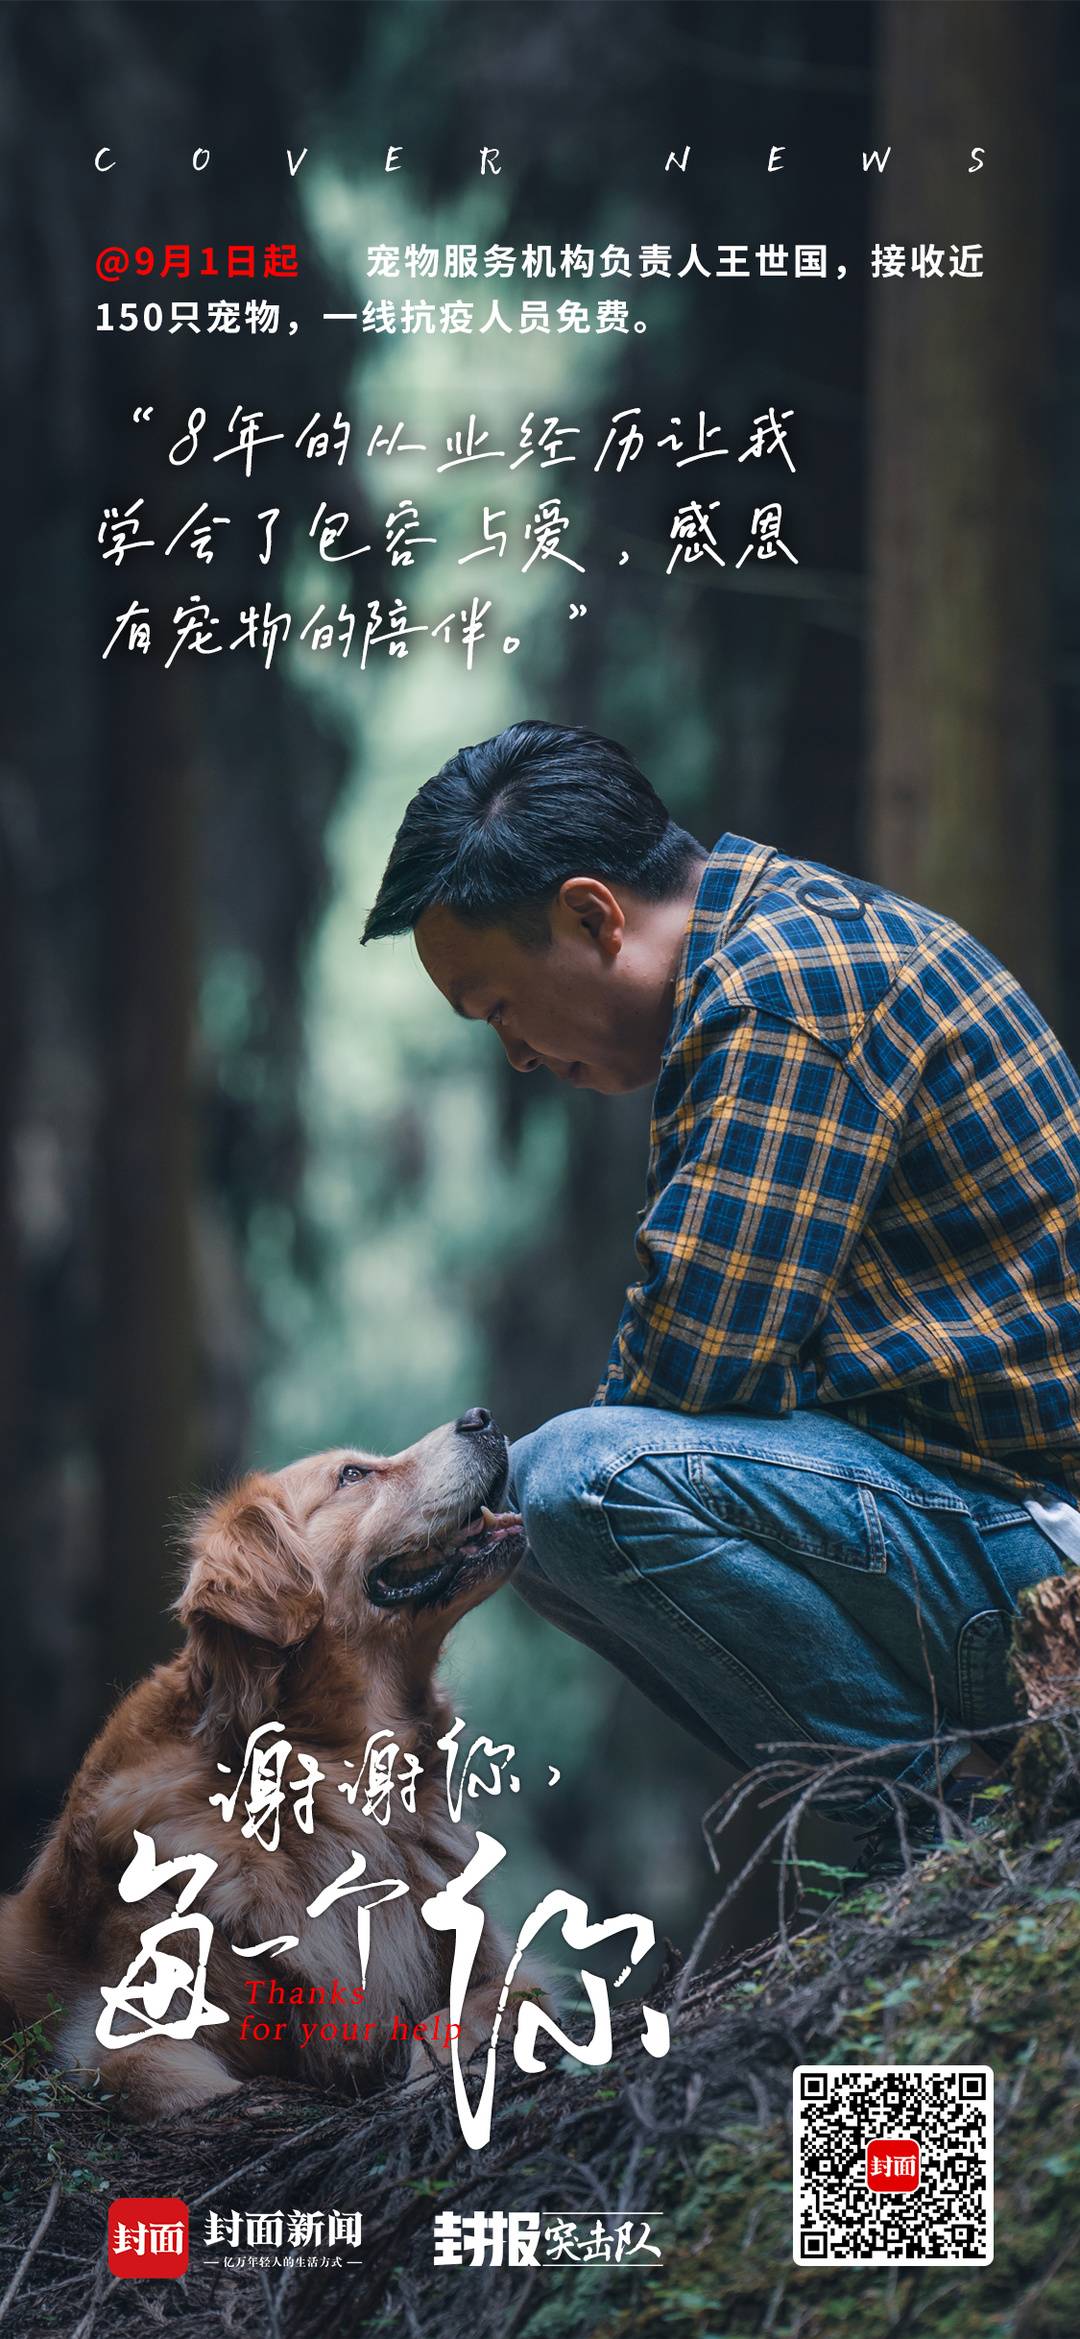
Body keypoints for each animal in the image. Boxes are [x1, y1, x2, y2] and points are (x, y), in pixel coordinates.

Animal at [0, 1403, 540, 2123]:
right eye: (352, 1474)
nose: (482, 1417)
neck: (337, 1777)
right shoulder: (123, 2037)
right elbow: (194, 2083)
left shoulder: (501, 1966)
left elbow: (465, 2013)